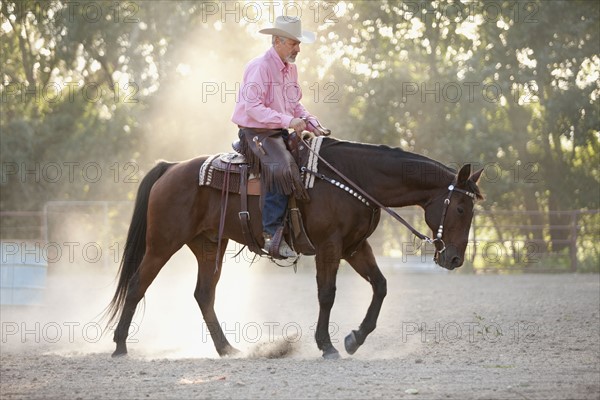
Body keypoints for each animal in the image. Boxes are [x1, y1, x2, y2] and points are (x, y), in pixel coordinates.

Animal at [106, 138, 482, 360]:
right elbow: (327, 294)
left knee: (203, 294)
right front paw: (327, 345)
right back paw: (120, 345)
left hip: (209, 244)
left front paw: (355, 338)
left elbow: (380, 286)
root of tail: (170, 168)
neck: (354, 178)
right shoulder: (330, 246)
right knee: (138, 285)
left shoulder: (355, 247)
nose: (454, 258)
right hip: (162, 243)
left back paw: (227, 348)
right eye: (461, 209)